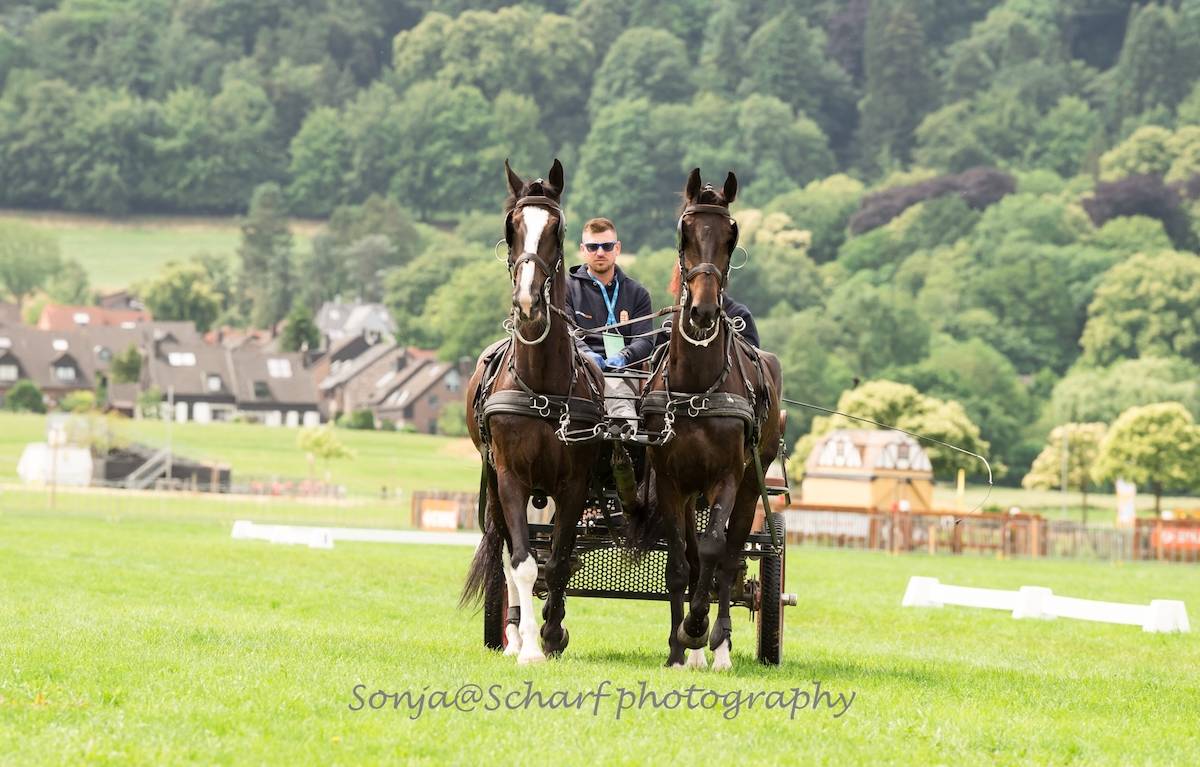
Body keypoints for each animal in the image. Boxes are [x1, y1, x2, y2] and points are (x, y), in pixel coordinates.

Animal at [463, 158, 604, 662]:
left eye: (556, 230)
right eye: (512, 227)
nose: (527, 303)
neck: (542, 384)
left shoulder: (574, 483)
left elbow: (559, 562)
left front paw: (553, 633)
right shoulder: (509, 477)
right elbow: (523, 563)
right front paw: (527, 646)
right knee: (506, 553)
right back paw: (511, 633)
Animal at [643, 169, 782, 672]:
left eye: (730, 235)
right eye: (684, 233)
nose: (702, 311)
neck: (698, 388)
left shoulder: (727, 477)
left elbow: (712, 551)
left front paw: (698, 628)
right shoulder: (670, 480)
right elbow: (681, 563)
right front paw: (677, 646)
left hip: (750, 485)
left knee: (730, 555)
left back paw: (718, 644)